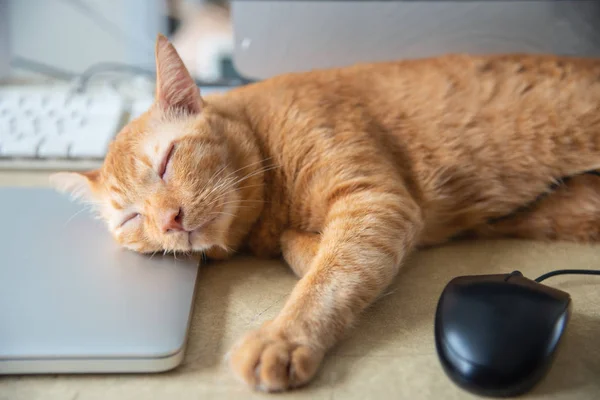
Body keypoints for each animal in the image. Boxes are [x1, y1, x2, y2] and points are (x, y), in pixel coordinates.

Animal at [50, 36, 600, 392]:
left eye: (165, 161)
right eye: (130, 219)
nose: (168, 220)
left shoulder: (373, 199)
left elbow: (331, 277)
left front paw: (283, 336)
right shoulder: (376, 211)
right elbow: (319, 257)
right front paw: (309, 250)